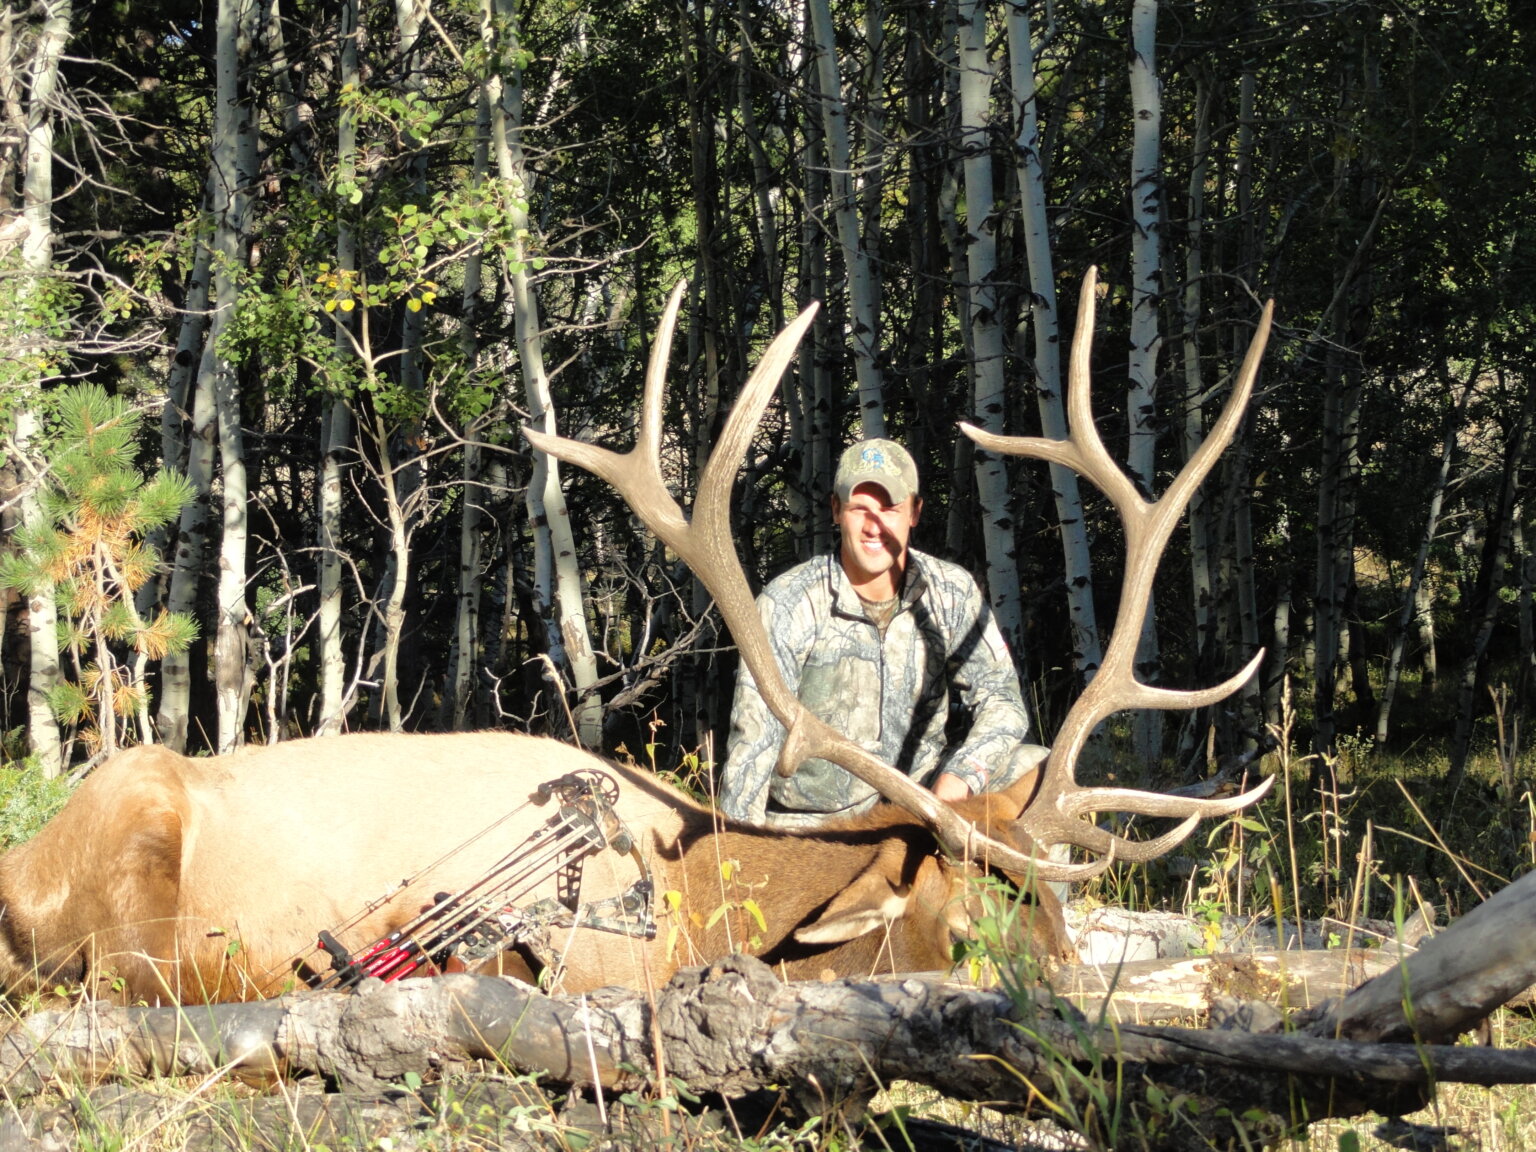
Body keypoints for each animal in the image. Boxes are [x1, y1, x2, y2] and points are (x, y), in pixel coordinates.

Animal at [0, 270, 1274, 1007]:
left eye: (1055, 918)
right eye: (965, 932)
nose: (1078, 1024)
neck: (707, 892)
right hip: (130, 816)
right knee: (136, 978)